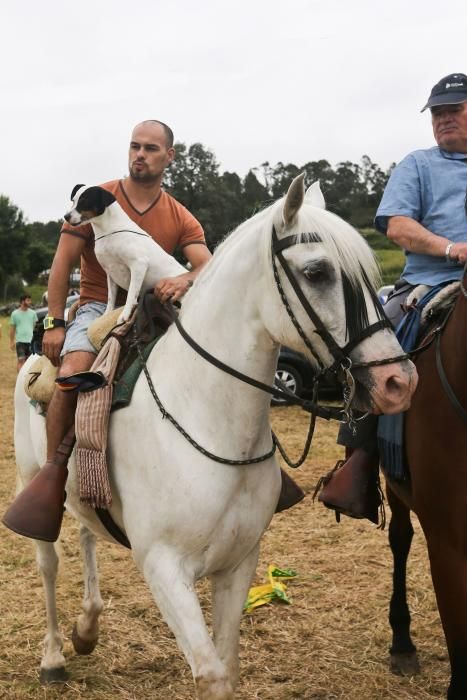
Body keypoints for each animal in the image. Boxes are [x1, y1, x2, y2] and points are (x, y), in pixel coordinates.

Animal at [64, 183, 185, 320]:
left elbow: (131, 294)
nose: (66, 217)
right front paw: (106, 315)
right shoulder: (110, 272)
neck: (109, 231)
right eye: (73, 201)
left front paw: (124, 314)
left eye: (84, 201)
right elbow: (110, 298)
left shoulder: (139, 264)